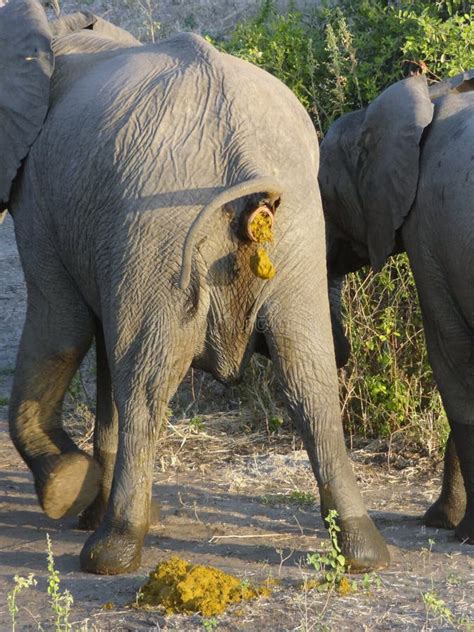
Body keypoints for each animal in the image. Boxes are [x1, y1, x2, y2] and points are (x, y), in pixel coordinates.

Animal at [1, 0, 390, 572]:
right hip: (293, 229)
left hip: (159, 225)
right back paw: (364, 553)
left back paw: (110, 553)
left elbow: (60, 328)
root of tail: (241, 149)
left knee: (145, 383)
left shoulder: (43, 204)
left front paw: (66, 491)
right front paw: (83, 499)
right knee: (310, 377)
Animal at [318, 68, 474, 544]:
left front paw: (460, 533)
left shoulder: (431, 232)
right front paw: (440, 520)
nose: (341, 354)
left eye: (322, 196)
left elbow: (451, 365)